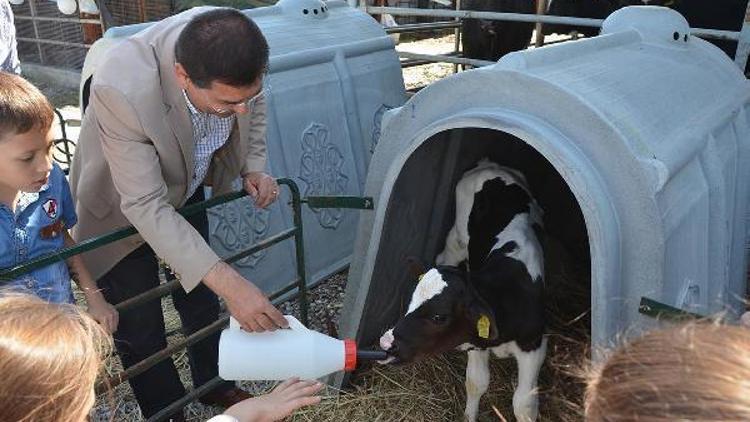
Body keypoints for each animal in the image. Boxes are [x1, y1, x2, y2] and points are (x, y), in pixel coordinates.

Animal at [382, 159, 548, 422]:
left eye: (439, 317)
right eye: (411, 302)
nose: (386, 342)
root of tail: (490, 165)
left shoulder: (534, 344)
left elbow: (524, 404)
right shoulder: (477, 341)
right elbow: (476, 382)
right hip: (457, 239)